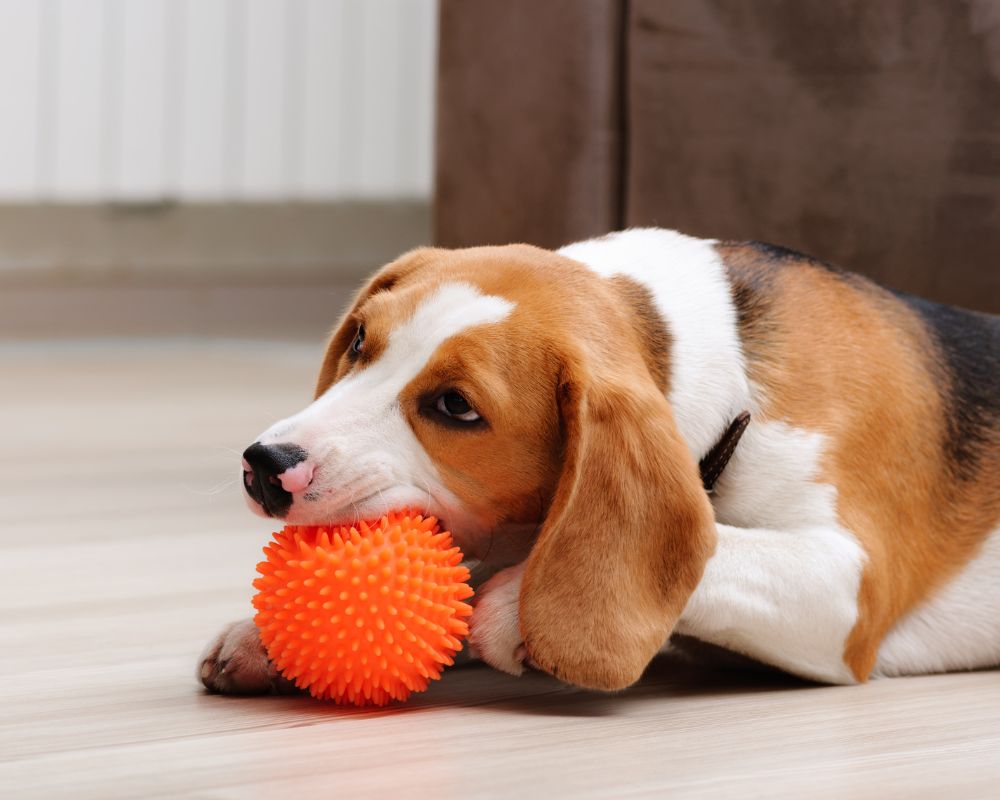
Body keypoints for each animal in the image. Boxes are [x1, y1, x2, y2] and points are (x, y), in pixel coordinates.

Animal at [197, 228, 1000, 696]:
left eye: (456, 407)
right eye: (361, 339)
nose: (266, 464)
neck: (731, 372)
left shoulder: (847, 590)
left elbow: (720, 547)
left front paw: (512, 613)